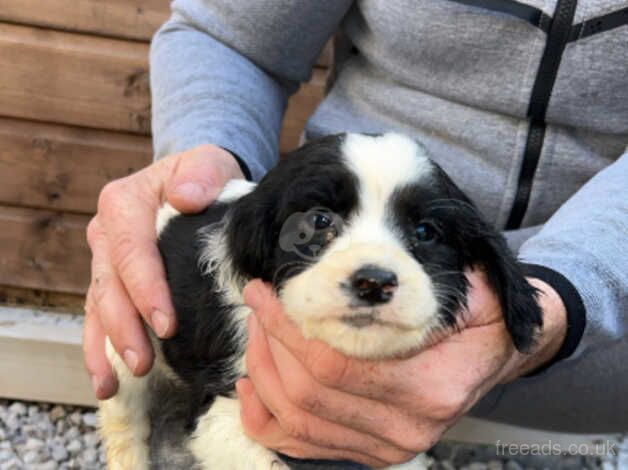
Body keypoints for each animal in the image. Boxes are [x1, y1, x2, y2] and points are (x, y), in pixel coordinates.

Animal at [97, 132, 540, 470]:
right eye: (319, 221)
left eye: (425, 232)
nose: (373, 283)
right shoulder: (220, 413)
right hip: (127, 355)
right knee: (126, 429)